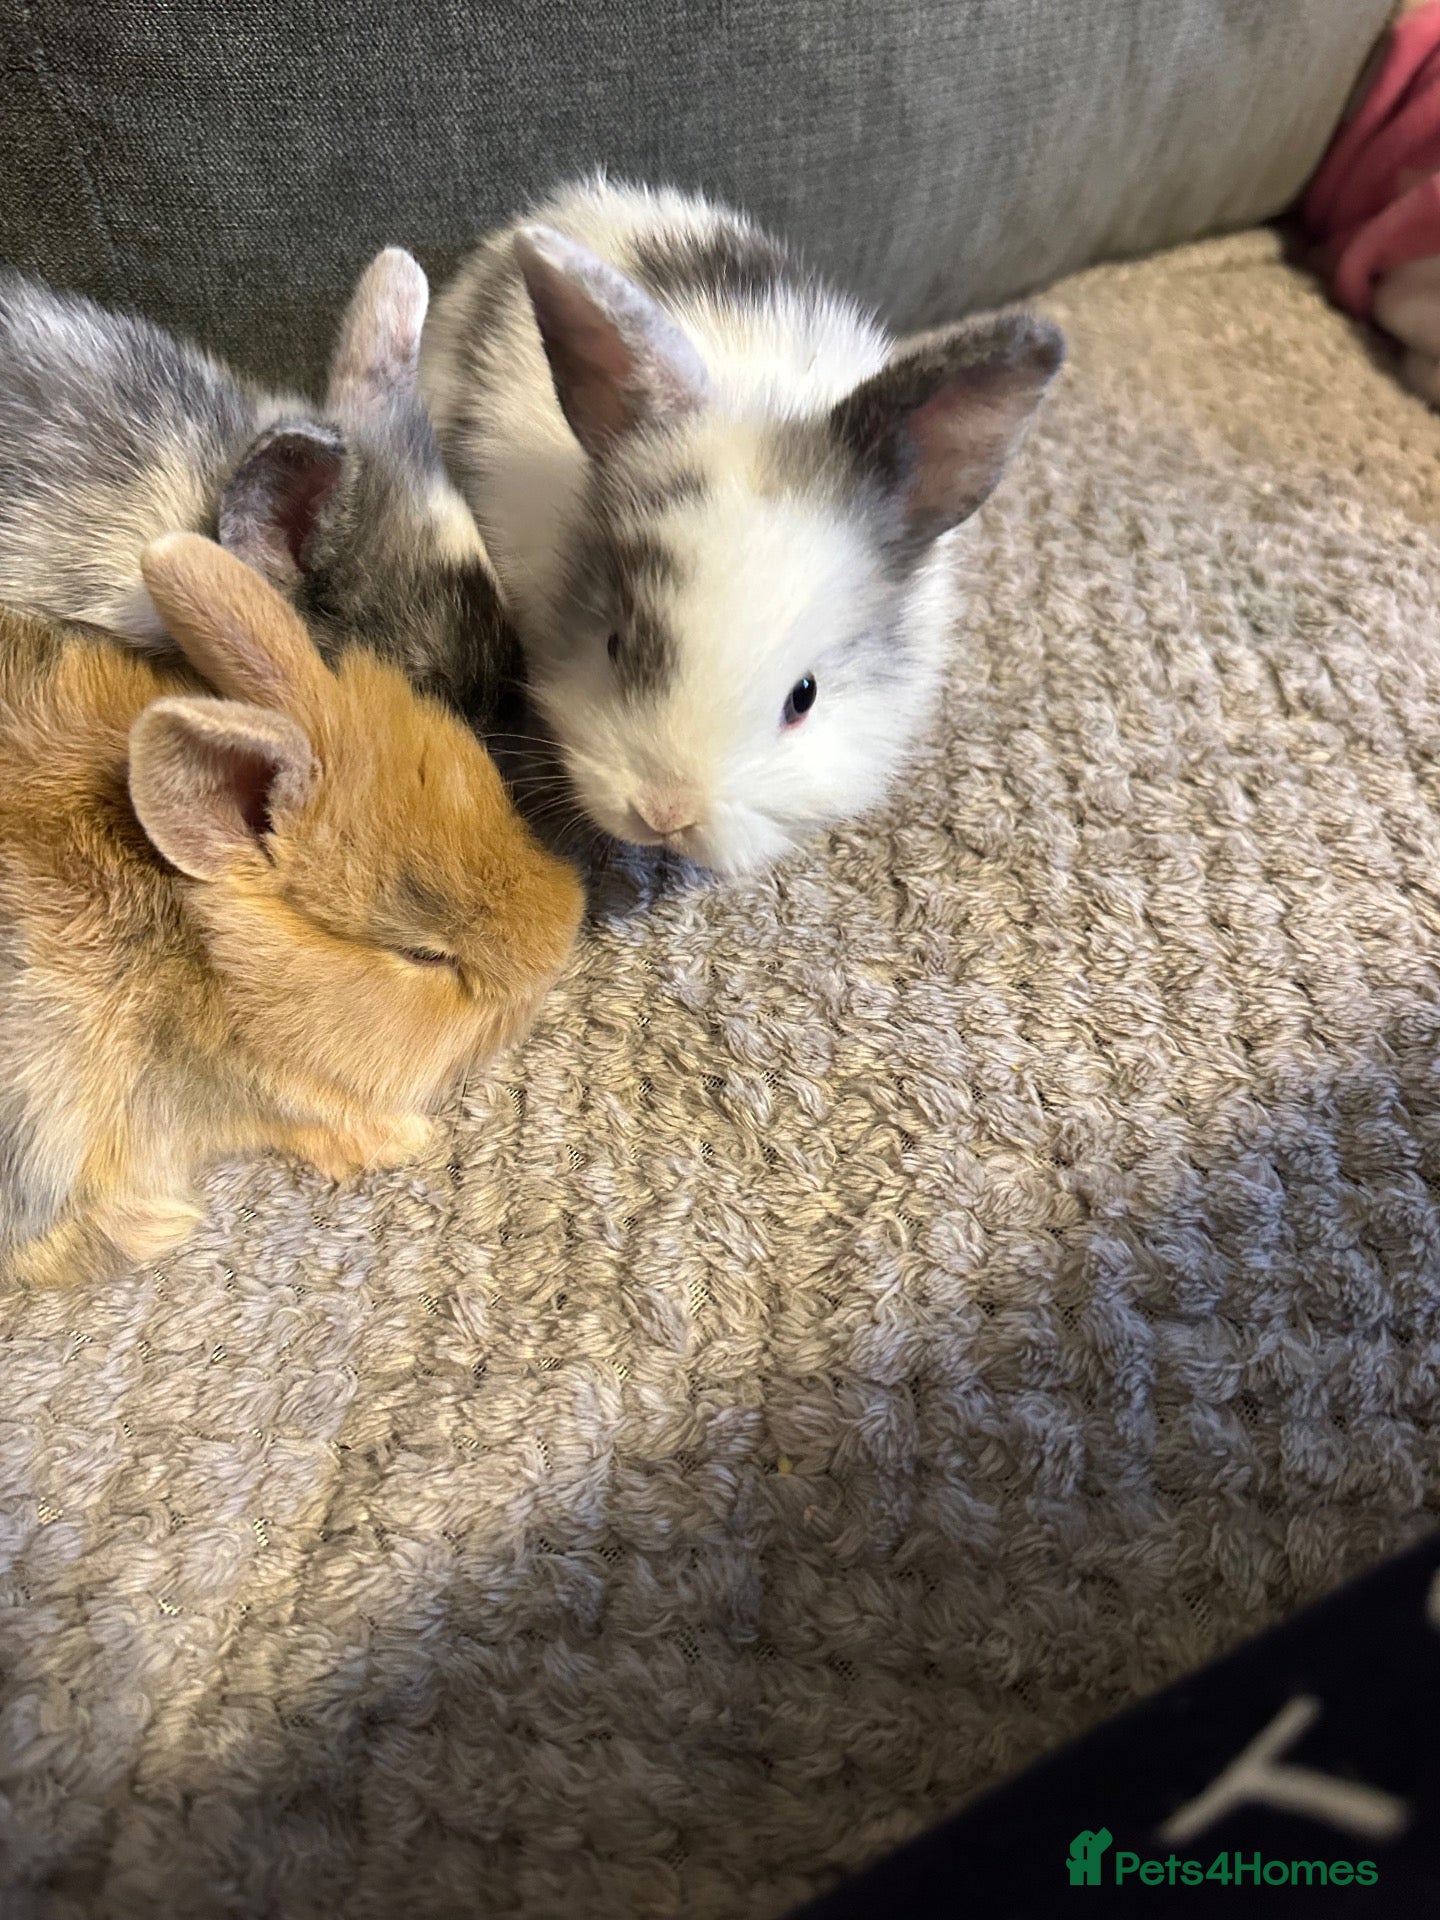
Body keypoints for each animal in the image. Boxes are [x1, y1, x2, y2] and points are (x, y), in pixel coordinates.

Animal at [0, 533, 583, 1290]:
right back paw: (147, 1228)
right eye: (424, 954)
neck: (209, 958)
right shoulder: (233, 1098)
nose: (561, 944)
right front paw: (403, 1140)